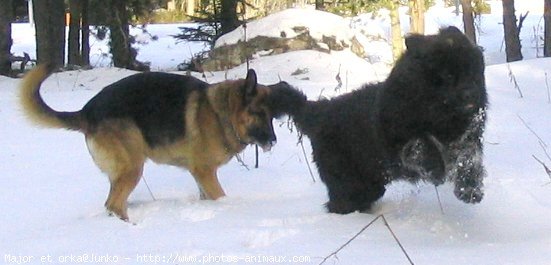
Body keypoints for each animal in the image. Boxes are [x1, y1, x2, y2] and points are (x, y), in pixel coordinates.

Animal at [20, 64, 280, 221]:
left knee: (112, 203)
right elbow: (219, 196)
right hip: (132, 168)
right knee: (114, 204)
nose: (274, 141)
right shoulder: (205, 171)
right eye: (258, 113)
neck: (220, 112)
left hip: (122, 172)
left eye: (272, 116)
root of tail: (87, 111)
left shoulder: (200, 175)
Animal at [270, 26, 490, 212]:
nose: (472, 94)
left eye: (474, 72)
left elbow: (469, 161)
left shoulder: (467, 140)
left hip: (370, 183)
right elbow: (420, 146)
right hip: (347, 181)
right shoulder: (398, 140)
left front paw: (470, 190)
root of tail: (319, 110)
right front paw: (437, 171)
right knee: (340, 201)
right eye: (448, 74)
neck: (436, 115)